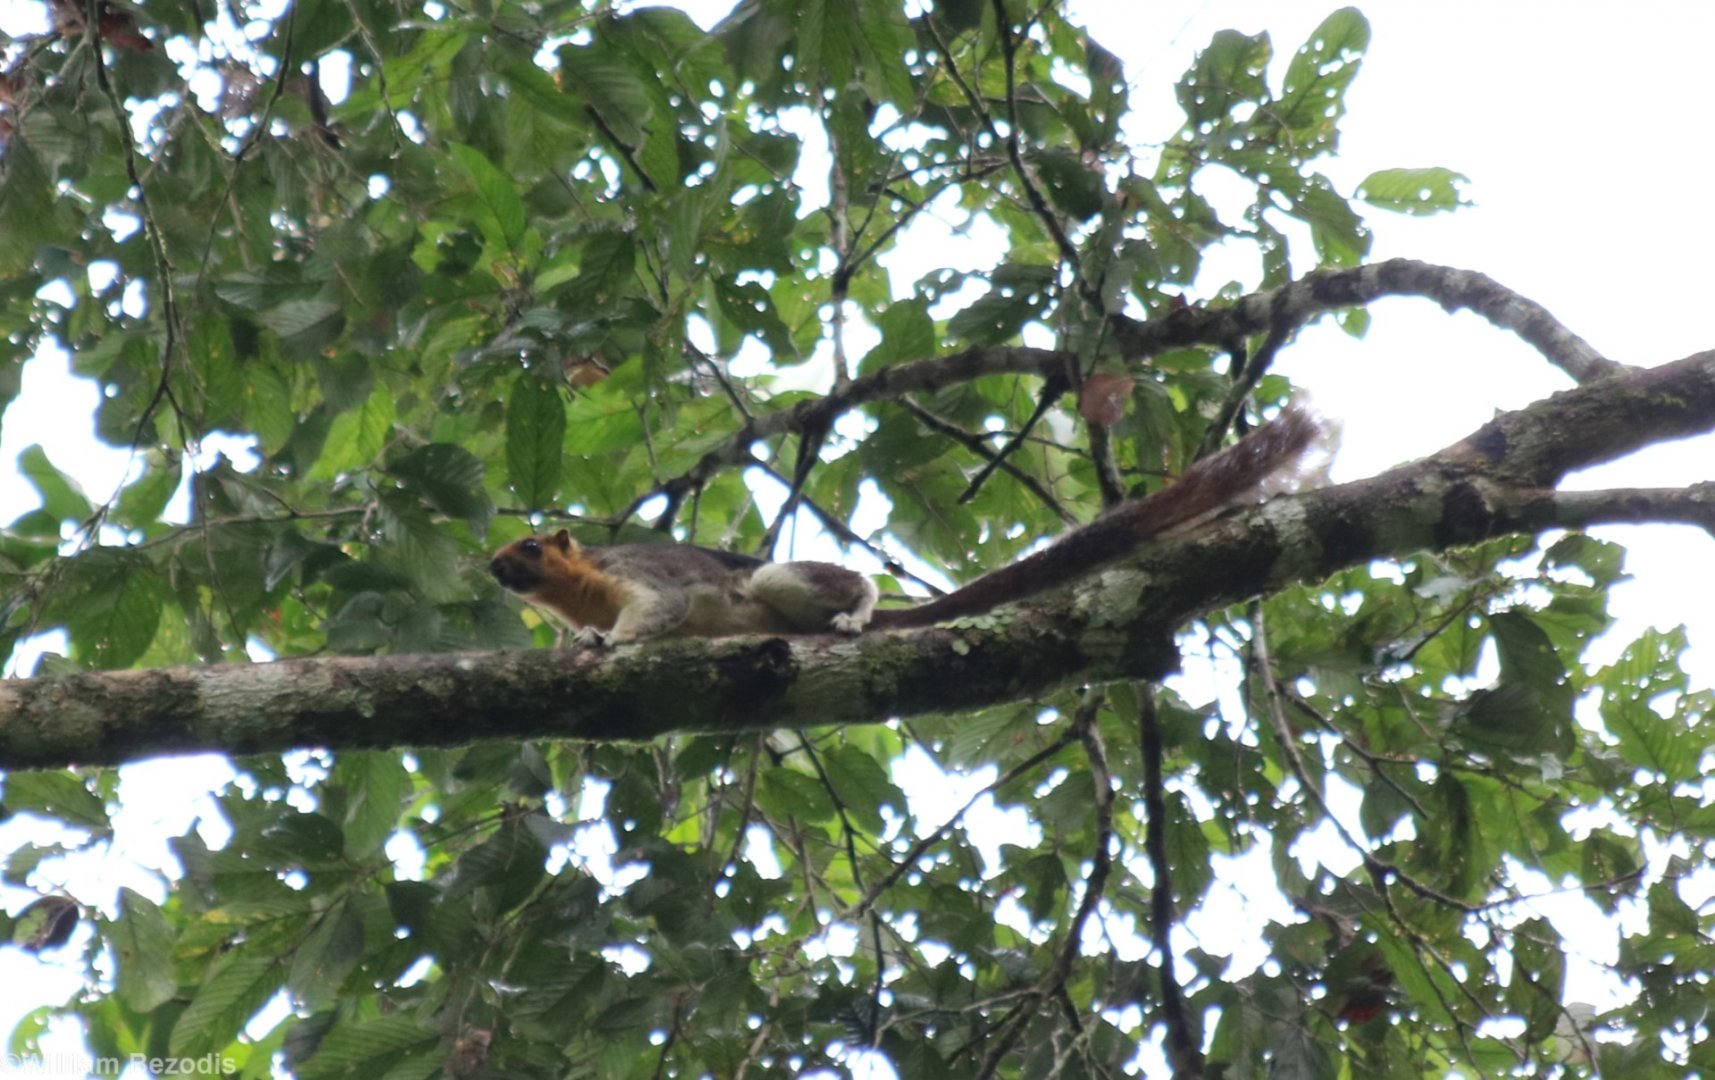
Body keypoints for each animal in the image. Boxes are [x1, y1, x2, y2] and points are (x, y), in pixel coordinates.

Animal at [490, 405, 1326, 645]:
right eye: (499, 555)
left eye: (529, 545)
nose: (497, 570)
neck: (578, 588)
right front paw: (580, 640)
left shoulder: (641, 576)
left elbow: (654, 611)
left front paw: (607, 641)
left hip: (780, 581)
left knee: (846, 581)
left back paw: (859, 613)